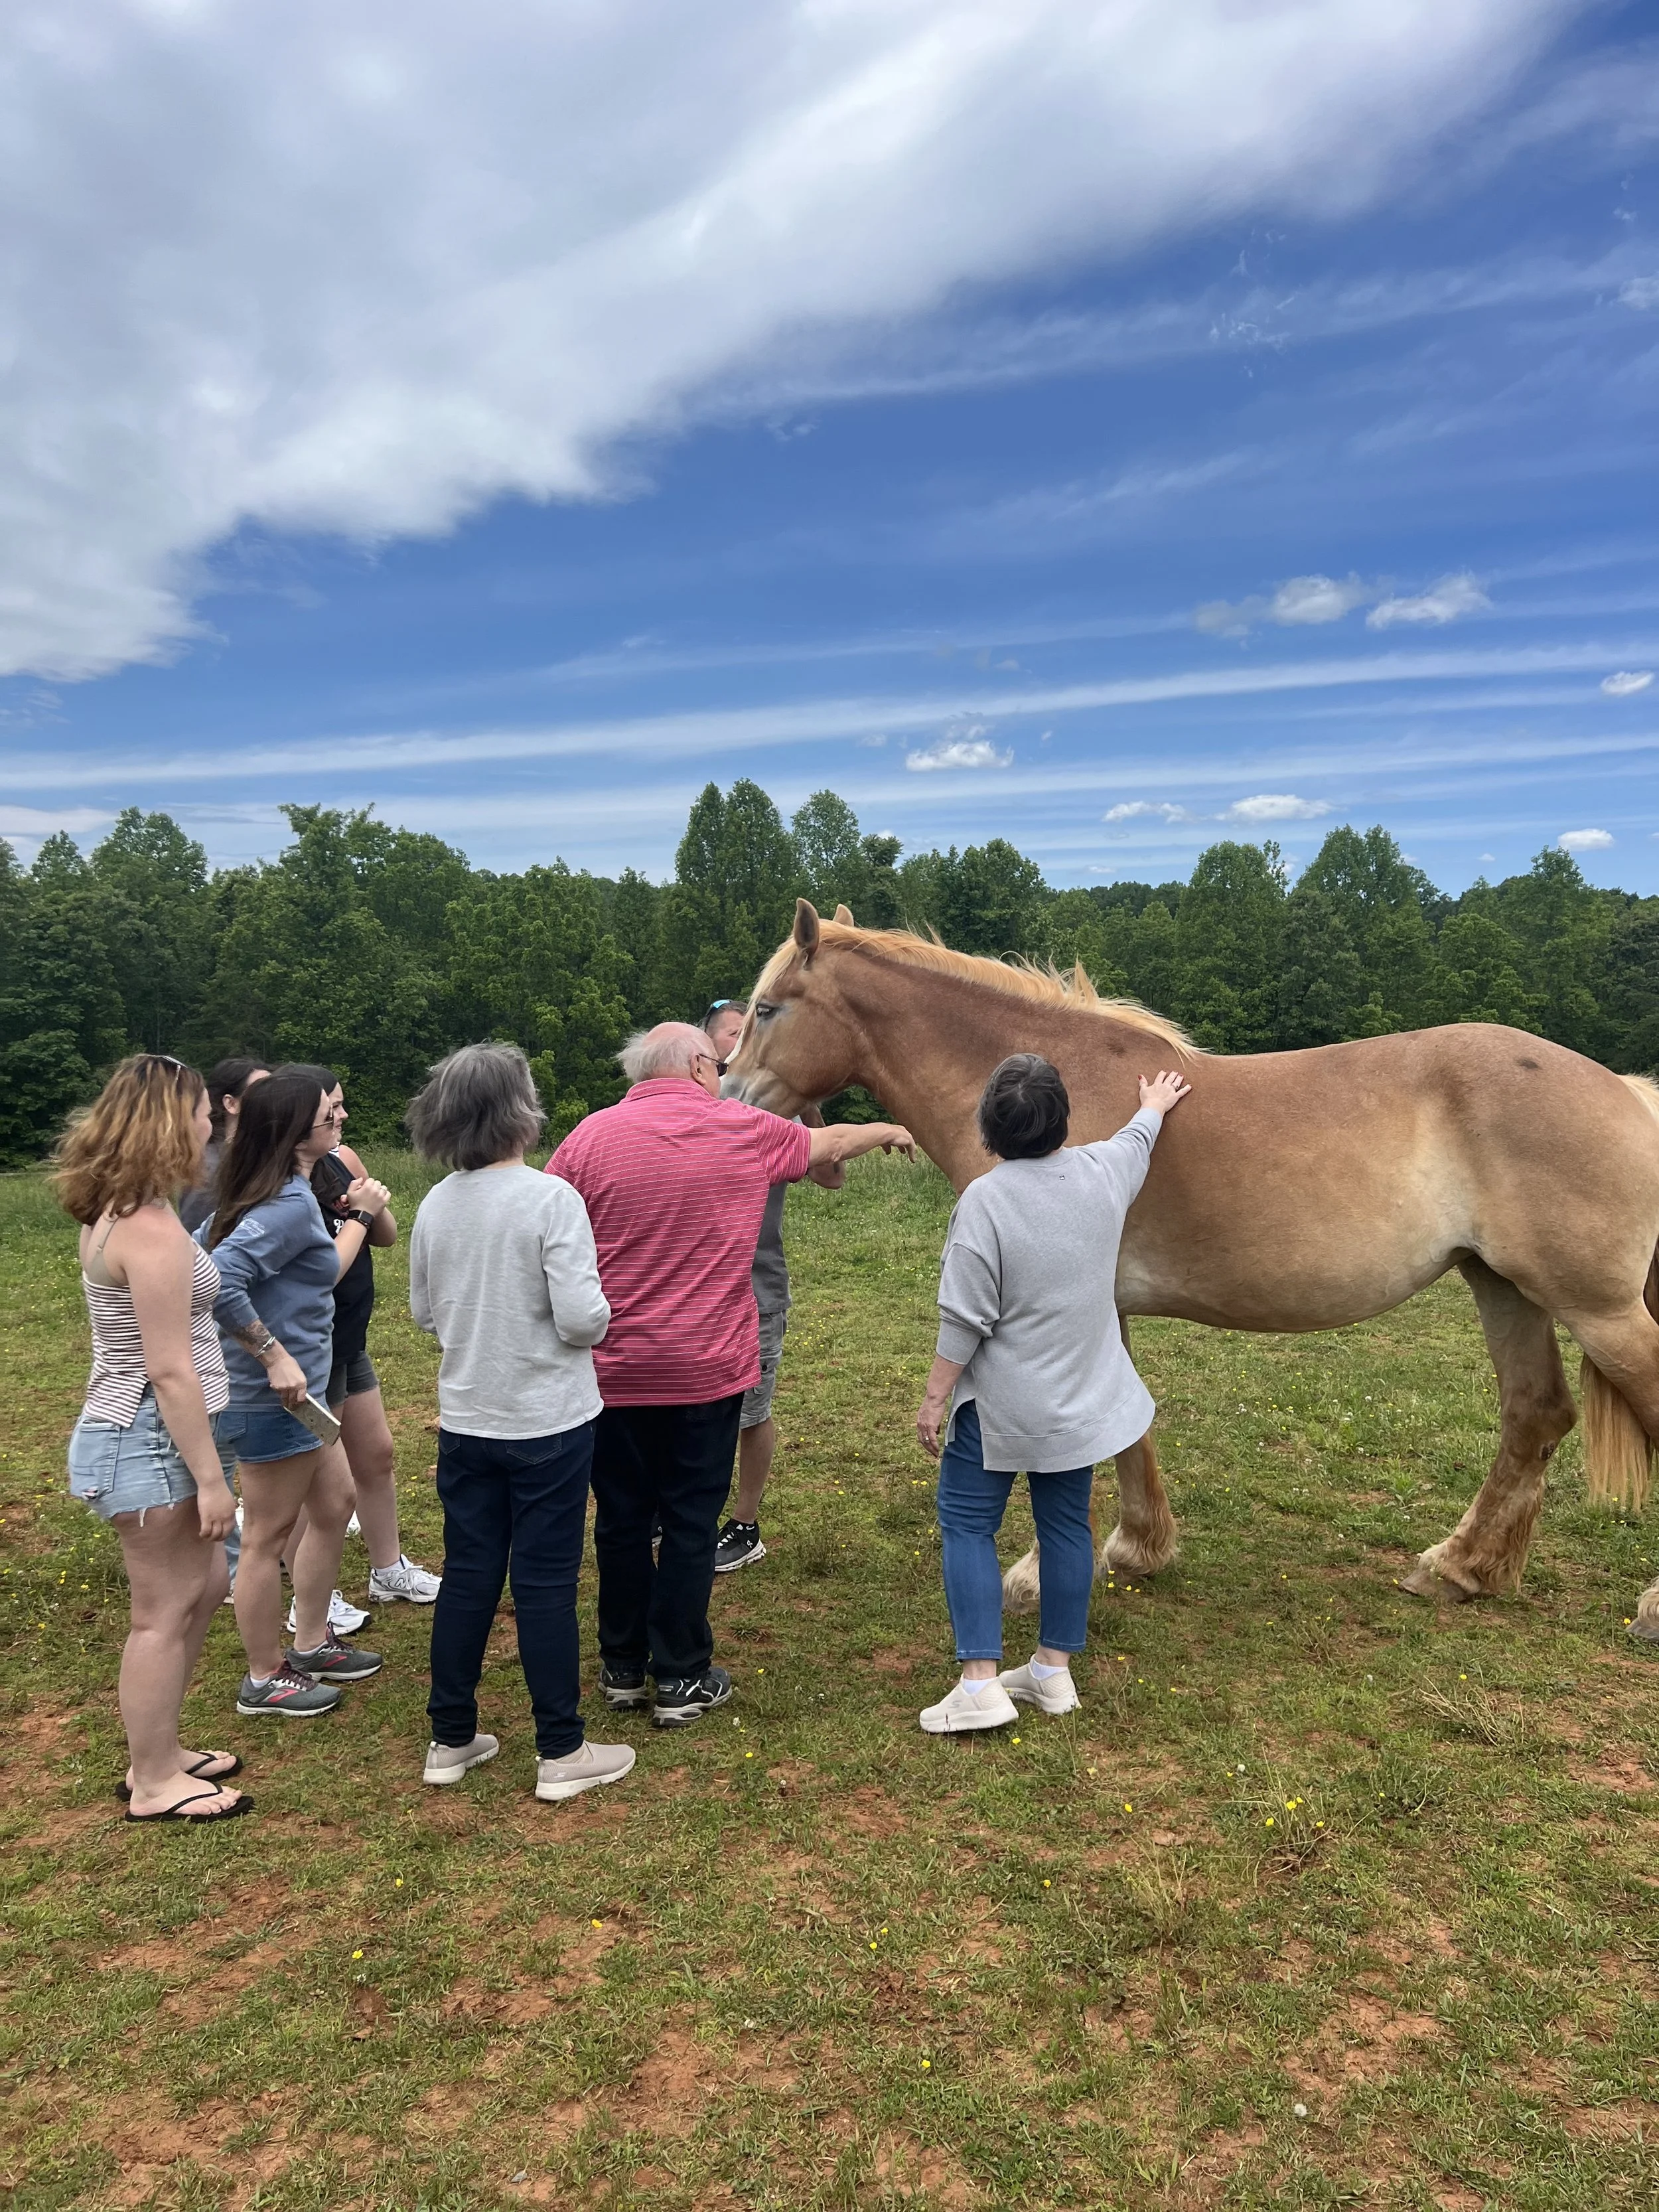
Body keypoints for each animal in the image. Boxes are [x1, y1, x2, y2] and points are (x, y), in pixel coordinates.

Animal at [722, 899, 1659, 1640]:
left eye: (767, 1008)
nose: (730, 1098)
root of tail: (1624, 1090)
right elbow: (1126, 1425)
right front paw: (1138, 1549)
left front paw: (1043, 1572)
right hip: (1504, 1287)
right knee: (1534, 1417)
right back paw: (1459, 1568)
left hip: (1598, 1309)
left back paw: (1642, 1606)